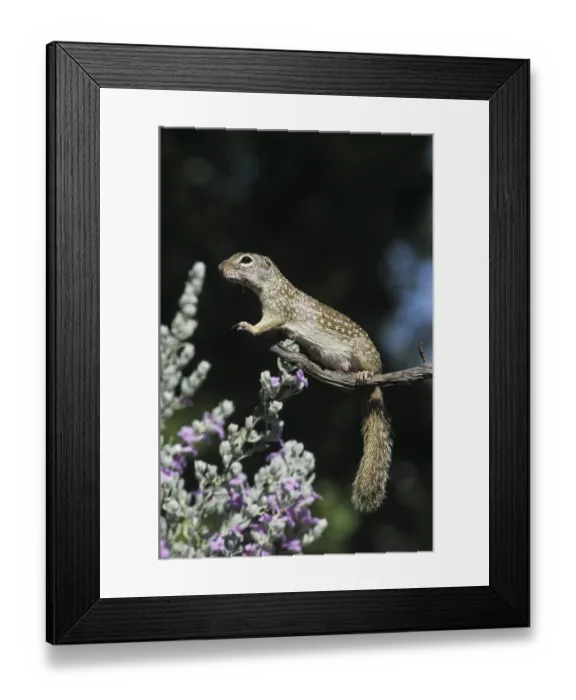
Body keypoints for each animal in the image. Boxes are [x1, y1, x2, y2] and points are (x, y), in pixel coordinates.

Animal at [218, 252, 392, 513]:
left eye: (246, 260)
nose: (220, 267)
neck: (274, 284)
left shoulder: (277, 310)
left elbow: (264, 324)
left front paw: (248, 326)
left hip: (365, 355)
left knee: (370, 368)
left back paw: (364, 374)